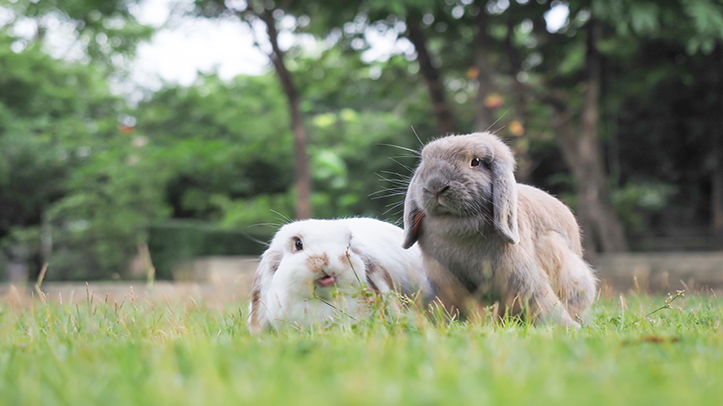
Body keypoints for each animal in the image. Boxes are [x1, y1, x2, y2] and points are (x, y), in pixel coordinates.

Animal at [402, 132, 597, 327]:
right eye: (425, 160)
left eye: (475, 161)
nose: (435, 186)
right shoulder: (446, 278)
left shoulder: (522, 277)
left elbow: (541, 300)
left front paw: (568, 327)